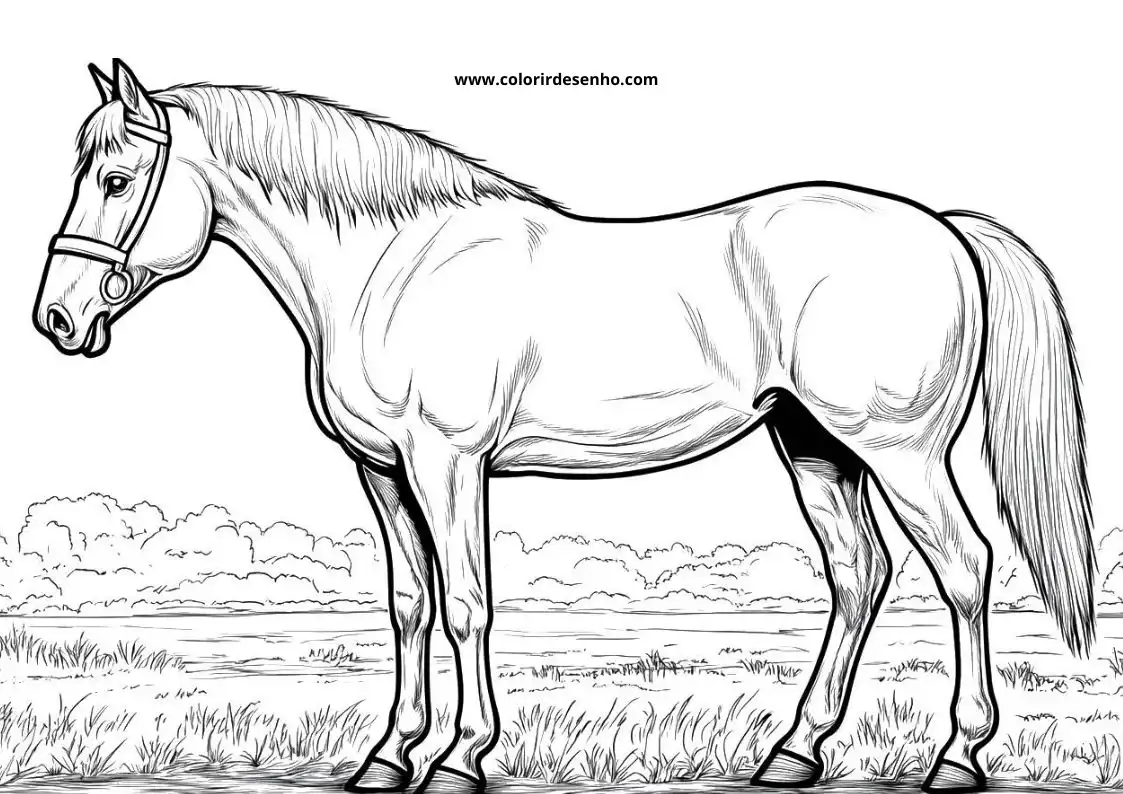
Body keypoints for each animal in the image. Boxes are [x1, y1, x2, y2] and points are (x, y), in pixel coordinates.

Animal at [34, 60, 1095, 794]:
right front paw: (386, 758)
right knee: (857, 574)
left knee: (962, 567)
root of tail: (943, 230)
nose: (57, 319)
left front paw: (459, 759)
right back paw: (793, 751)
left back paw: (956, 756)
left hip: (899, 451)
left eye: (118, 178)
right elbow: (408, 606)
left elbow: (467, 604)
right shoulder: (382, 471)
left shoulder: (448, 463)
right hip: (815, 447)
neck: (391, 265)